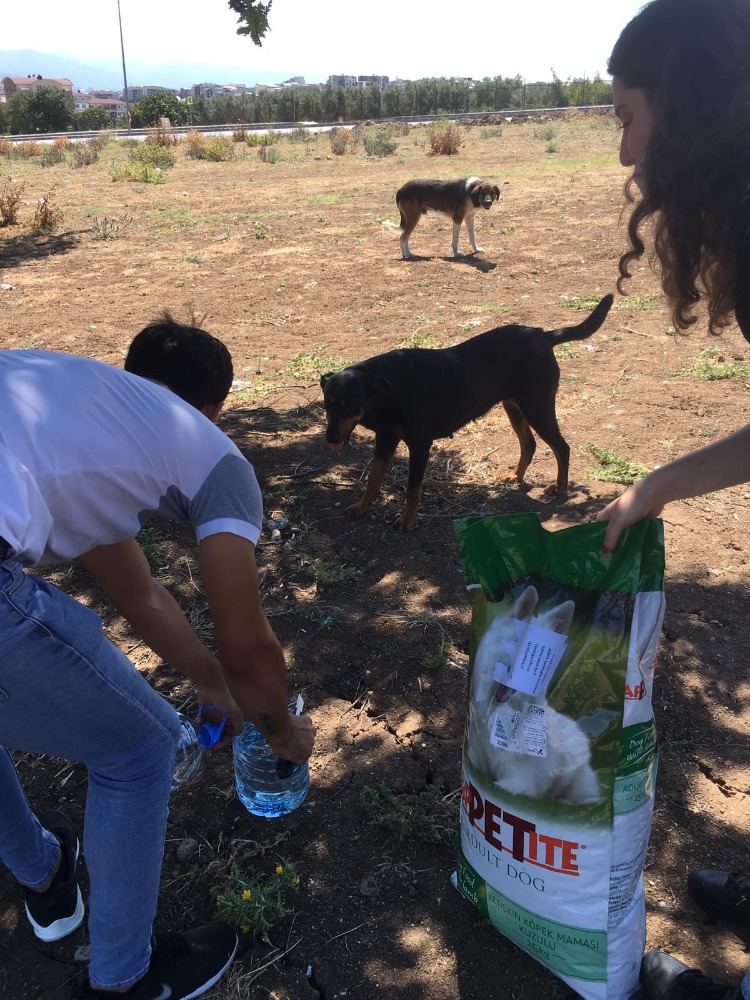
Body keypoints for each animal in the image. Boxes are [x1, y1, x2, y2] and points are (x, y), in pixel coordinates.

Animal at [320, 293, 614, 530]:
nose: (330, 439)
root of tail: (543, 334)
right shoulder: (385, 439)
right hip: (514, 407)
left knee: (561, 447)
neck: (388, 389)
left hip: (537, 407)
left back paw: (561, 486)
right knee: (529, 444)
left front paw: (408, 520)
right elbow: (373, 479)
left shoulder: (420, 445)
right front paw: (362, 508)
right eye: (328, 404)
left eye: (349, 405)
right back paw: (516, 476)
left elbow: (412, 488)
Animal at [466, 586, 601, 805]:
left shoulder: (521, 782)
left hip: (578, 781)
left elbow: (500, 785)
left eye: (537, 657)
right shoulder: (475, 762)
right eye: (515, 644)